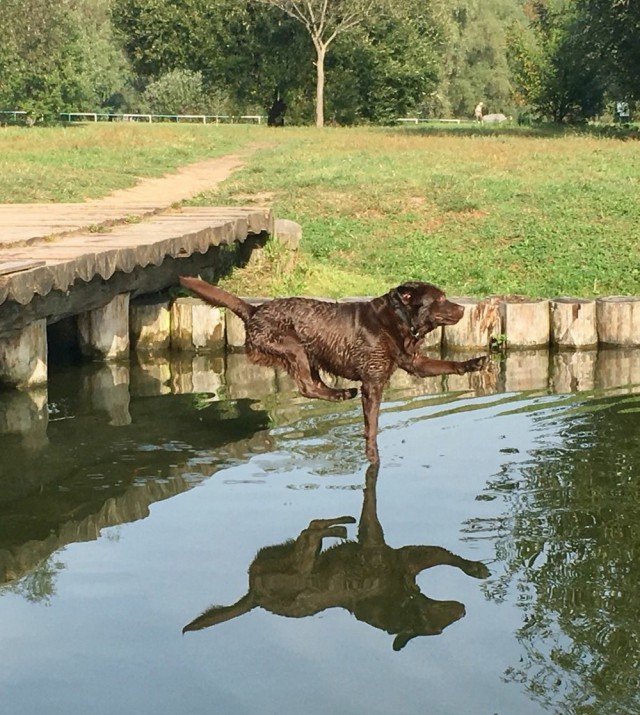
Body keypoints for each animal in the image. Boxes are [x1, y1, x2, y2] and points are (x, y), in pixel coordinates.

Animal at [178, 274, 488, 464]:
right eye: (440, 299)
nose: (462, 309)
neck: (398, 320)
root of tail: (253, 311)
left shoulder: (416, 364)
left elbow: (446, 365)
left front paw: (474, 363)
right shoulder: (373, 383)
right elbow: (372, 425)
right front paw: (372, 455)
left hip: (311, 356)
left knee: (313, 384)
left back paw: (341, 394)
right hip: (293, 348)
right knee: (306, 387)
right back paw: (342, 394)